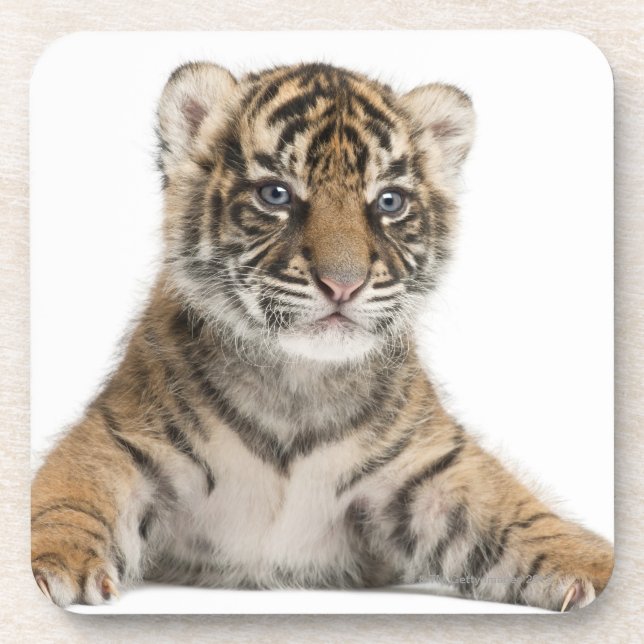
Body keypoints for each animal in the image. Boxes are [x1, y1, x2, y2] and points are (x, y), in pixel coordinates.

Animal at [31, 61, 613, 611]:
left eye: (389, 202)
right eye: (276, 194)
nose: (343, 284)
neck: (299, 382)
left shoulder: (433, 470)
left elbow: (524, 516)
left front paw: (601, 568)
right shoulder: (118, 438)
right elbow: (67, 497)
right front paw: (50, 564)